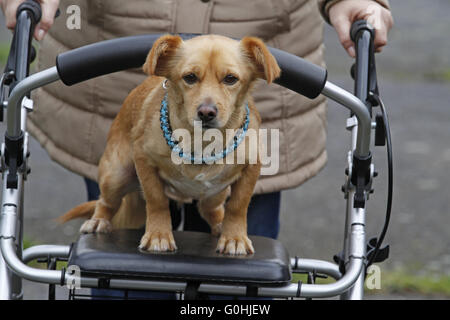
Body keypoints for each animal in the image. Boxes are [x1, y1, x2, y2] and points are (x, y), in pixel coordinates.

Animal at [58, 34, 280, 255]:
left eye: (231, 79)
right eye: (190, 77)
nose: (206, 112)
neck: (202, 141)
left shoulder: (251, 169)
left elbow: (238, 206)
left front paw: (234, 238)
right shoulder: (144, 161)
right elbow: (157, 201)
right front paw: (158, 235)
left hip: (216, 193)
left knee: (211, 210)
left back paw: (220, 225)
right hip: (115, 176)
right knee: (106, 202)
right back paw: (98, 221)